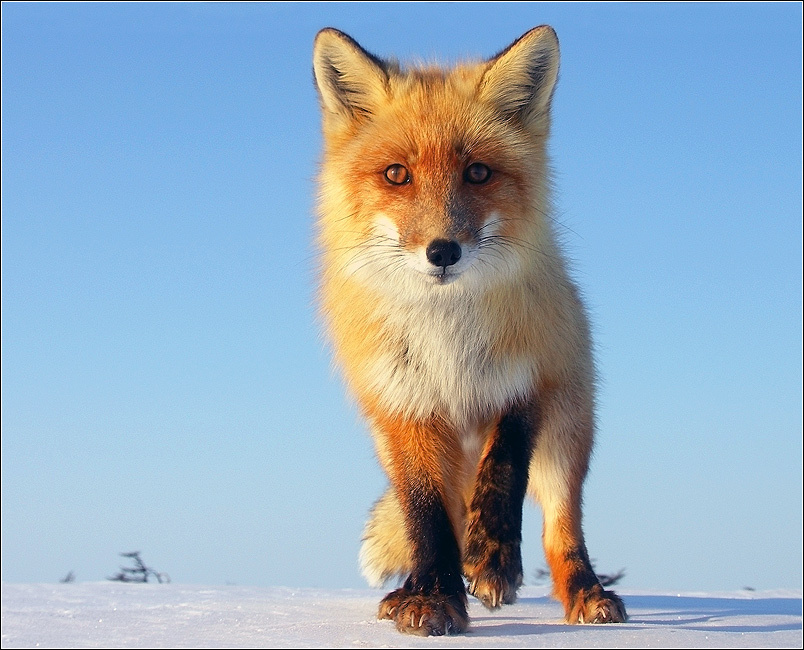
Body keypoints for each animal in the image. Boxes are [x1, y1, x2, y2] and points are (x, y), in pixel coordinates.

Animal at [312, 26, 628, 636]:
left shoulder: (531, 378)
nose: (442, 252)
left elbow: (503, 472)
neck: (447, 342)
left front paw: (496, 563)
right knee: (440, 514)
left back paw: (585, 592)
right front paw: (434, 599)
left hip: (567, 436)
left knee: (560, 529)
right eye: (397, 174)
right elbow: (427, 518)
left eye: (477, 172)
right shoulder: (405, 407)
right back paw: (410, 591)